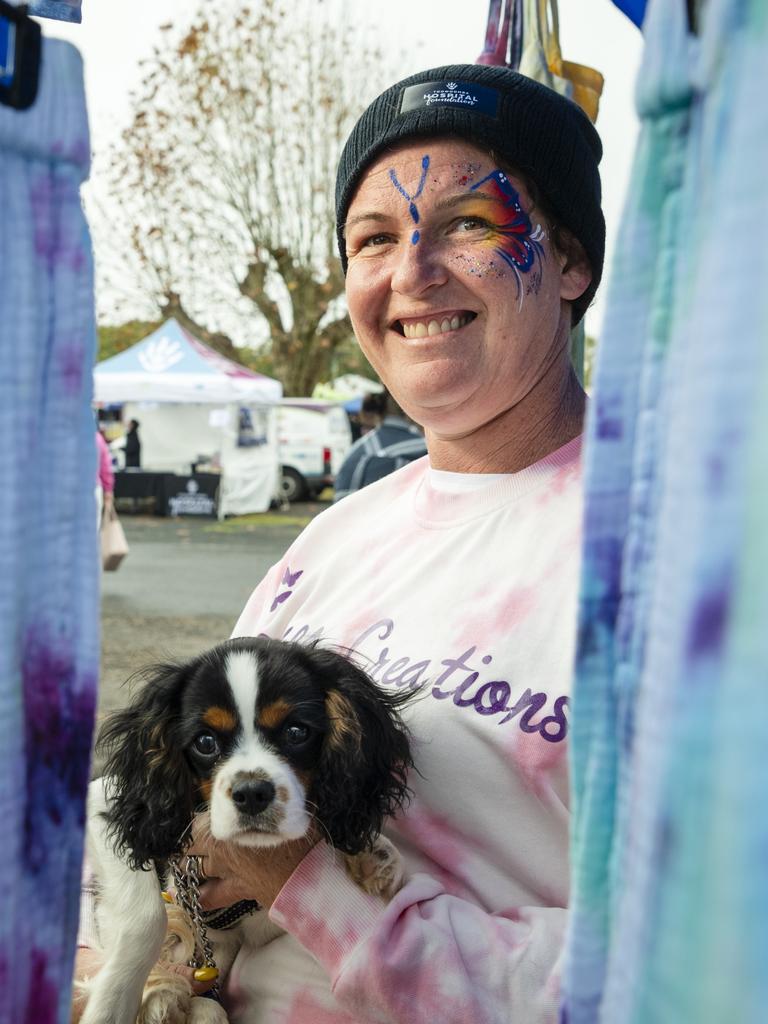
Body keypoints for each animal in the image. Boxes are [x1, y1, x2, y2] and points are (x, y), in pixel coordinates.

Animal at [78, 634, 415, 1019]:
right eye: (205, 742)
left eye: (296, 732)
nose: (252, 793)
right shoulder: (106, 803)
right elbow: (147, 918)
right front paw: (111, 1005)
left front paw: (374, 852)